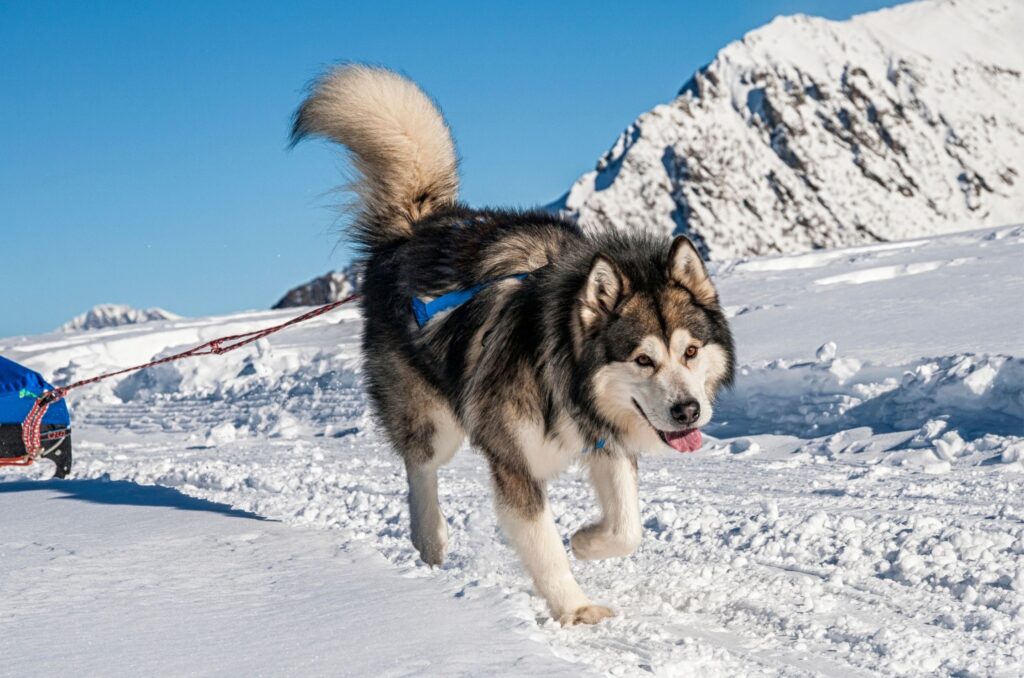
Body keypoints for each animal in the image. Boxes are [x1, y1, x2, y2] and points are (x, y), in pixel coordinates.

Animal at [292, 66, 733, 630]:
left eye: (691, 352)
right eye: (642, 359)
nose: (688, 411)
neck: (561, 368)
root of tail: (415, 228)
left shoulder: (603, 436)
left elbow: (627, 526)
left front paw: (586, 541)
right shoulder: (513, 462)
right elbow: (543, 543)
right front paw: (574, 606)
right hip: (436, 421)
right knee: (421, 466)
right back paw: (430, 538)